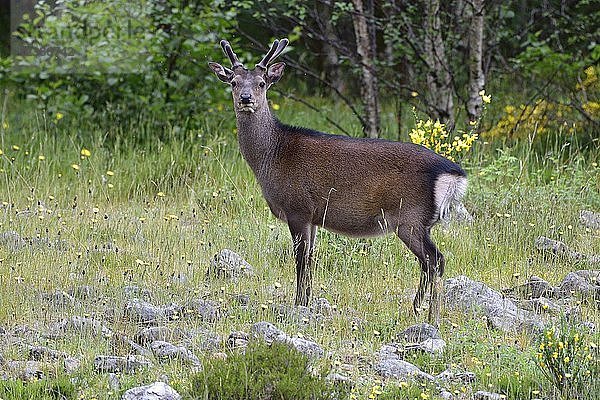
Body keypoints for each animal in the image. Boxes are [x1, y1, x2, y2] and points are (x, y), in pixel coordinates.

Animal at [209, 38, 466, 324]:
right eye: (234, 82)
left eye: (262, 82)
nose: (246, 98)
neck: (272, 157)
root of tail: (454, 174)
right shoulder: (312, 216)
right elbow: (311, 259)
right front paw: (307, 301)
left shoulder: (297, 207)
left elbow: (300, 260)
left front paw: (298, 303)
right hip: (417, 221)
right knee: (428, 262)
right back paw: (417, 308)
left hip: (410, 216)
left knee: (436, 259)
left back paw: (431, 315)